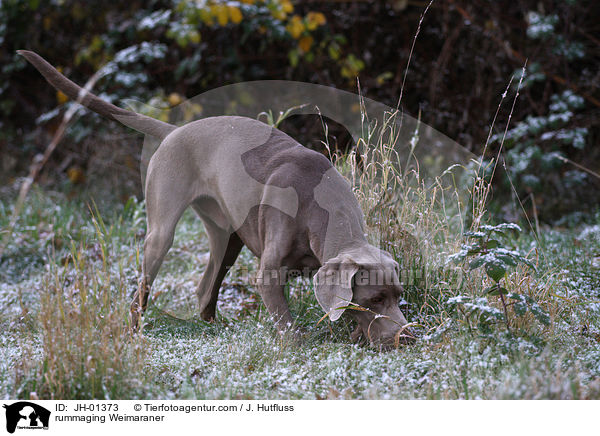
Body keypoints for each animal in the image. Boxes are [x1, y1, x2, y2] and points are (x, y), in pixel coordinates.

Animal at [17, 50, 412, 348]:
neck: (321, 211)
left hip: (228, 235)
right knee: (143, 290)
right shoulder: (268, 273)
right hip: (161, 230)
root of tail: (175, 131)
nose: (407, 336)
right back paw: (134, 335)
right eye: (374, 299)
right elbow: (285, 320)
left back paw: (215, 328)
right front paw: (296, 344)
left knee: (205, 287)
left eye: (398, 295)